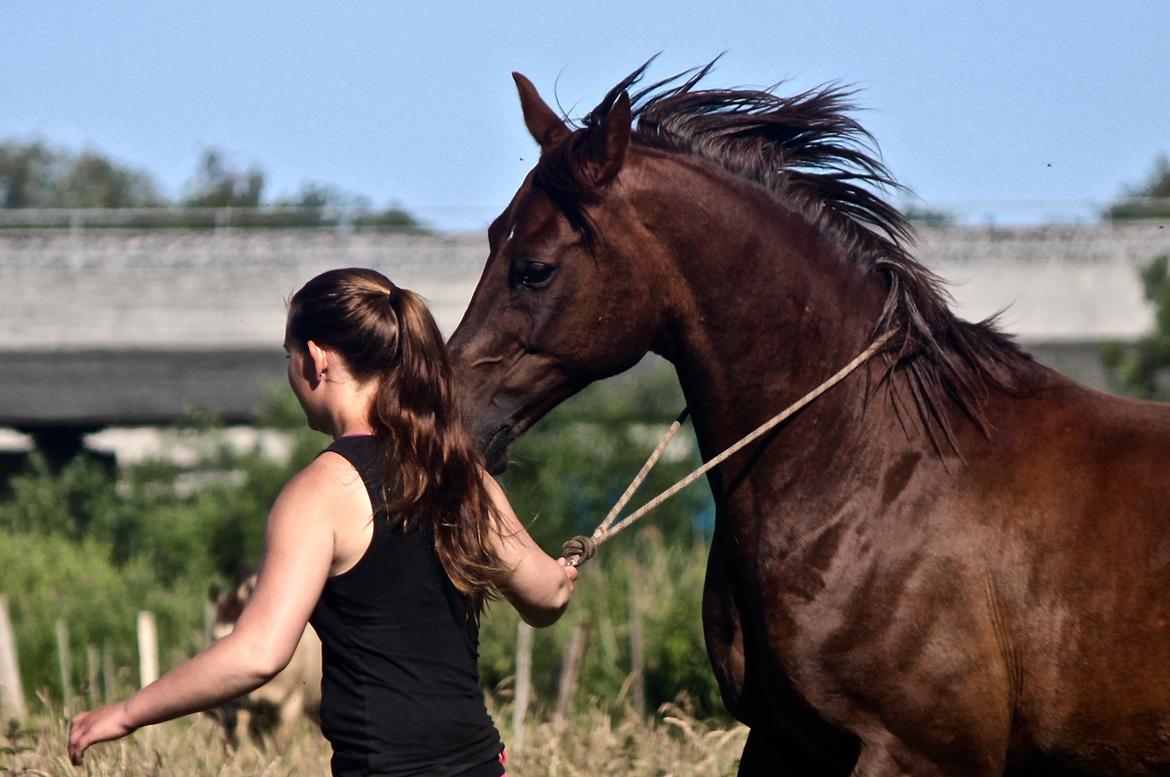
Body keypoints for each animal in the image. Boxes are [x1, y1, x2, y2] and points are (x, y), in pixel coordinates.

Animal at [449, 62, 1170, 777]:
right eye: (489, 236)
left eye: (534, 269)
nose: (455, 417)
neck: (874, 471)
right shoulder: (781, 741)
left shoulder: (914, 754)